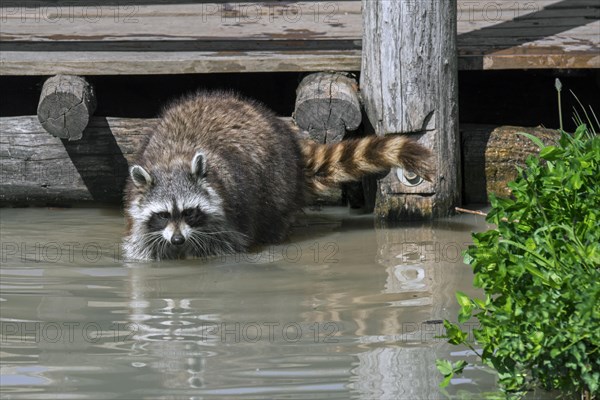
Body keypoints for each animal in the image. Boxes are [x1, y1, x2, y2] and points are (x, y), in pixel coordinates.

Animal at [123, 91, 432, 260]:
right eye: (163, 214)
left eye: (189, 212)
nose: (177, 240)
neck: (173, 160)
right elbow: (143, 244)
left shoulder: (227, 214)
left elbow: (225, 246)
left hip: (277, 184)